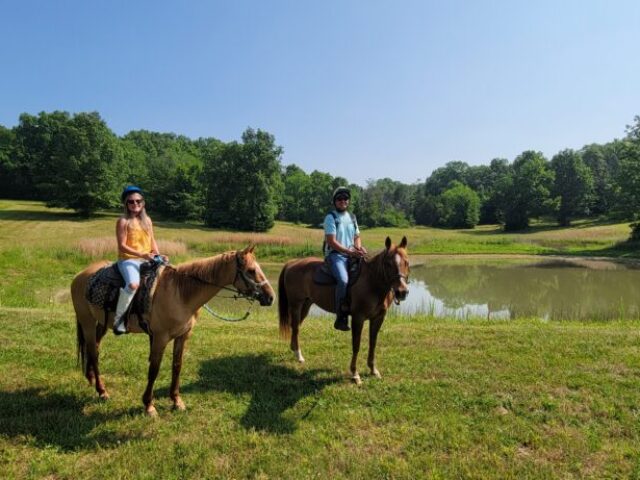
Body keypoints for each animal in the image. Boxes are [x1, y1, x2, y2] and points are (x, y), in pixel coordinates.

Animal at [70, 246, 276, 414]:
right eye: (251, 270)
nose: (271, 297)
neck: (180, 294)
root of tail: (80, 275)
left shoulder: (183, 336)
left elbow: (177, 366)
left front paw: (177, 401)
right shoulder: (160, 338)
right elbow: (154, 369)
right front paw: (149, 405)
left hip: (101, 323)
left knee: (94, 348)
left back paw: (92, 379)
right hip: (87, 322)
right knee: (94, 352)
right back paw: (102, 391)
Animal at [276, 238, 408, 384]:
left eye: (406, 262)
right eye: (388, 263)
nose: (402, 292)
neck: (371, 282)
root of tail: (292, 263)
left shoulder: (378, 318)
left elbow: (372, 343)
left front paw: (373, 370)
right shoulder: (358, 318)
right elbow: (356, 345)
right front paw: (355, 374)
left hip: (306, 304)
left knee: (296, 327)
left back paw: (295, 351)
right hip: (296, 304)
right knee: (295, 327)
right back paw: (299, 355)